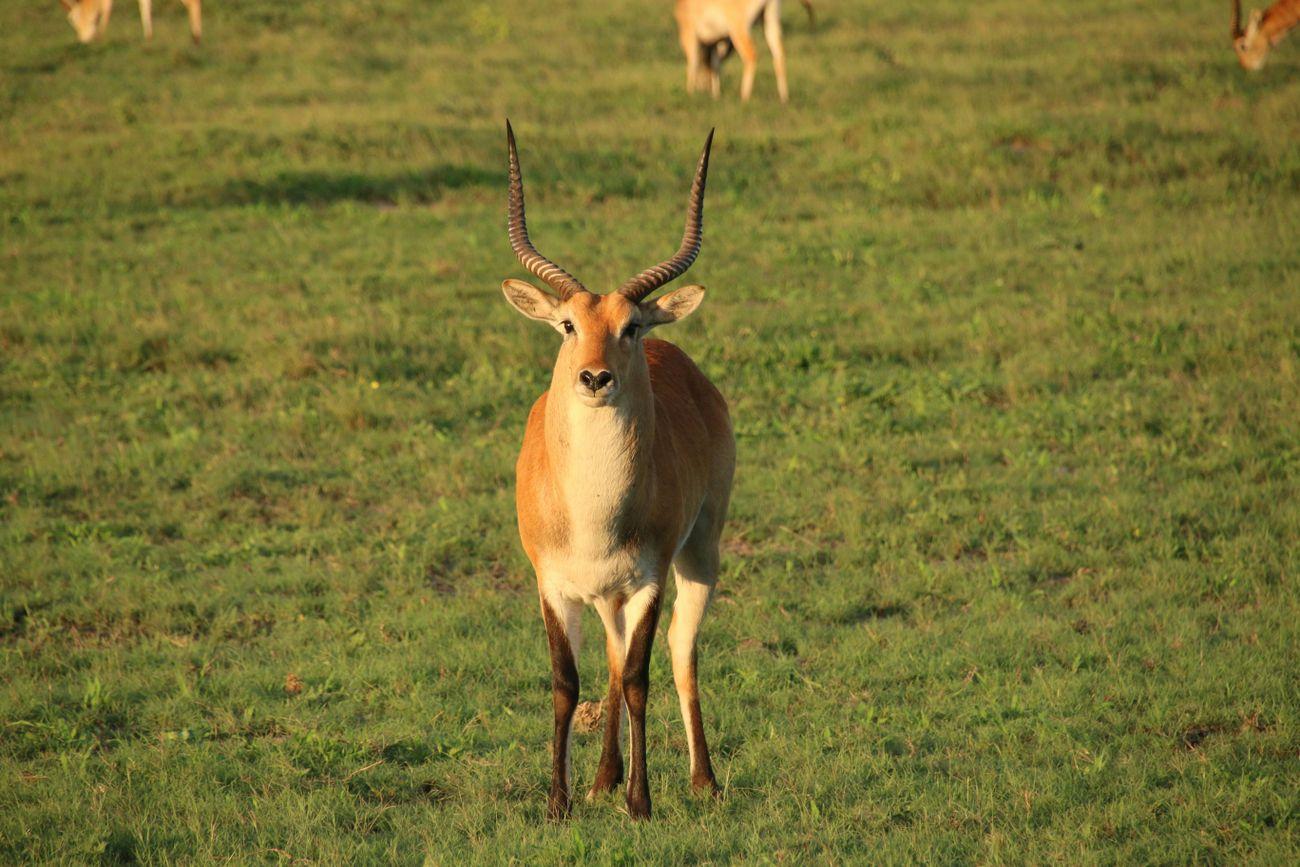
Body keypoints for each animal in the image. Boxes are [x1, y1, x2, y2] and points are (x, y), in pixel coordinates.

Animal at [61, 0, 201, 44]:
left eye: (71, 19)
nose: (81, 41)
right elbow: (145, 5)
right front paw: (148, 37)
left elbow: (107, 5)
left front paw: (101, 37)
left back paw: (196, 39)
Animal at [501, 122, 738, 821]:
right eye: (566, 324)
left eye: (629, 325)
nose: (595, 377)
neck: (594, 514)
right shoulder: (552, 583)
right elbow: (566, 681)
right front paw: (560, 803)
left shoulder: (649, 580)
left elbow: (638, 678)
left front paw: (641, 803)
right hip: (604, 593)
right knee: (608, 655)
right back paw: (602, 779)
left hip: (700, 554)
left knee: (680, 652)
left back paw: (702, 781)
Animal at [676, 0, 816, 102]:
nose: (703, 90)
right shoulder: (718, 41)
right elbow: (716, 64)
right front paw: (716, 95)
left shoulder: (689, 33)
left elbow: (693, 62)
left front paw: (689, 93)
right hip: (770, 21)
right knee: (779, 55)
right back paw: (784, 98)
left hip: (739, 29)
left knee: (751, 55)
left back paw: (744, 96)